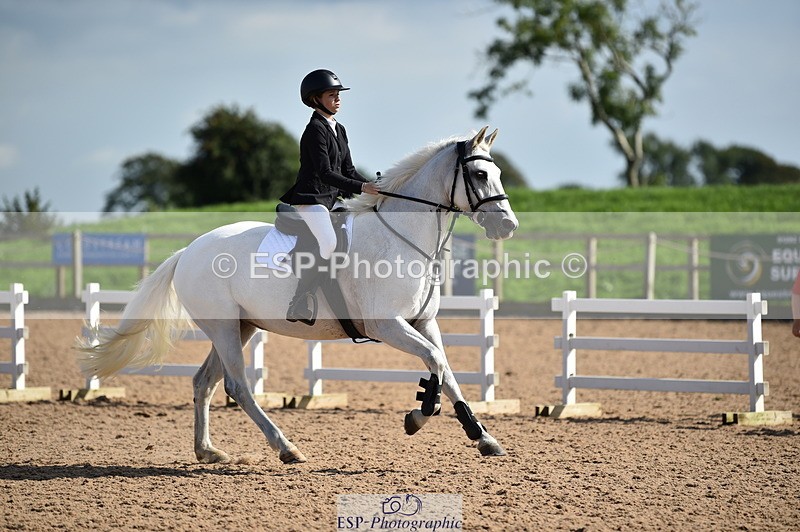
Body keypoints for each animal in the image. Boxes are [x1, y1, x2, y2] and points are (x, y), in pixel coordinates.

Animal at [77, 126, 519, 464]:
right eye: (480, 175)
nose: (508, 227)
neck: (401, 238)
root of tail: (188, 250)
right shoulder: (387, 325)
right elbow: (435, 364)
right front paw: (419, 415)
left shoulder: (423, 322)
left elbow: (446, 370)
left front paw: (482, 436)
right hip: (223, 328)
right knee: (237, 386)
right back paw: (286, 448)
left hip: (240, 327)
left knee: (204, 382)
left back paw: (208, 452)